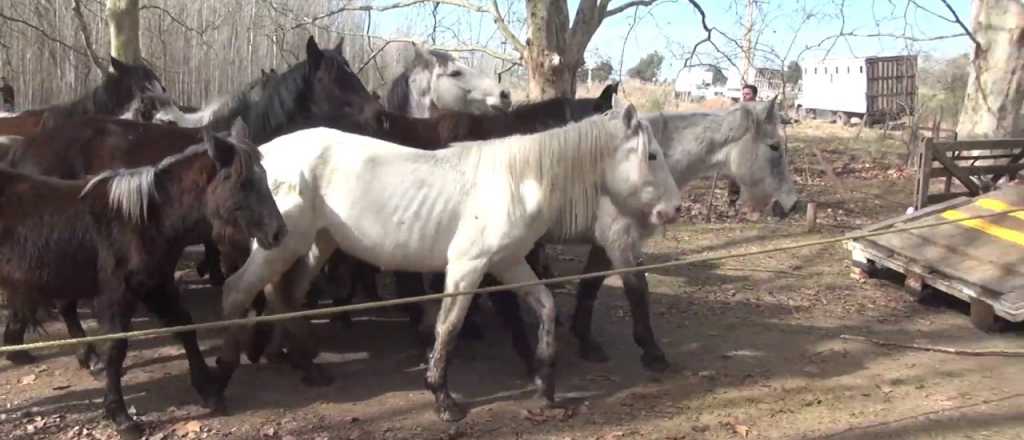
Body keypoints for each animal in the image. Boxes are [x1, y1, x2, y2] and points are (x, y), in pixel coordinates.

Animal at [0, 128, 286, 440]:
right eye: (243, 183)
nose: (278, 232)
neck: (142, 223)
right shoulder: (117, 295)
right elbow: (116, 349)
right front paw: (121, 416)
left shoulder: (155, 286)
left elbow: (185, 328)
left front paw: (209, 390)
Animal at [215, 97, 683, 422]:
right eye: (652, 155)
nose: (675, 209)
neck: (518, 180)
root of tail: (263, 152)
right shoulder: (467, 266)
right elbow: (450, 326)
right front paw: (443, 399)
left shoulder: (509, 263)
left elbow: (546, 307)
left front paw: (545, 386)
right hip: (281, 242)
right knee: (237, 292)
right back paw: (221, 378)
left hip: (316, 243)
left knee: (285, 295)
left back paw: (304, 366)